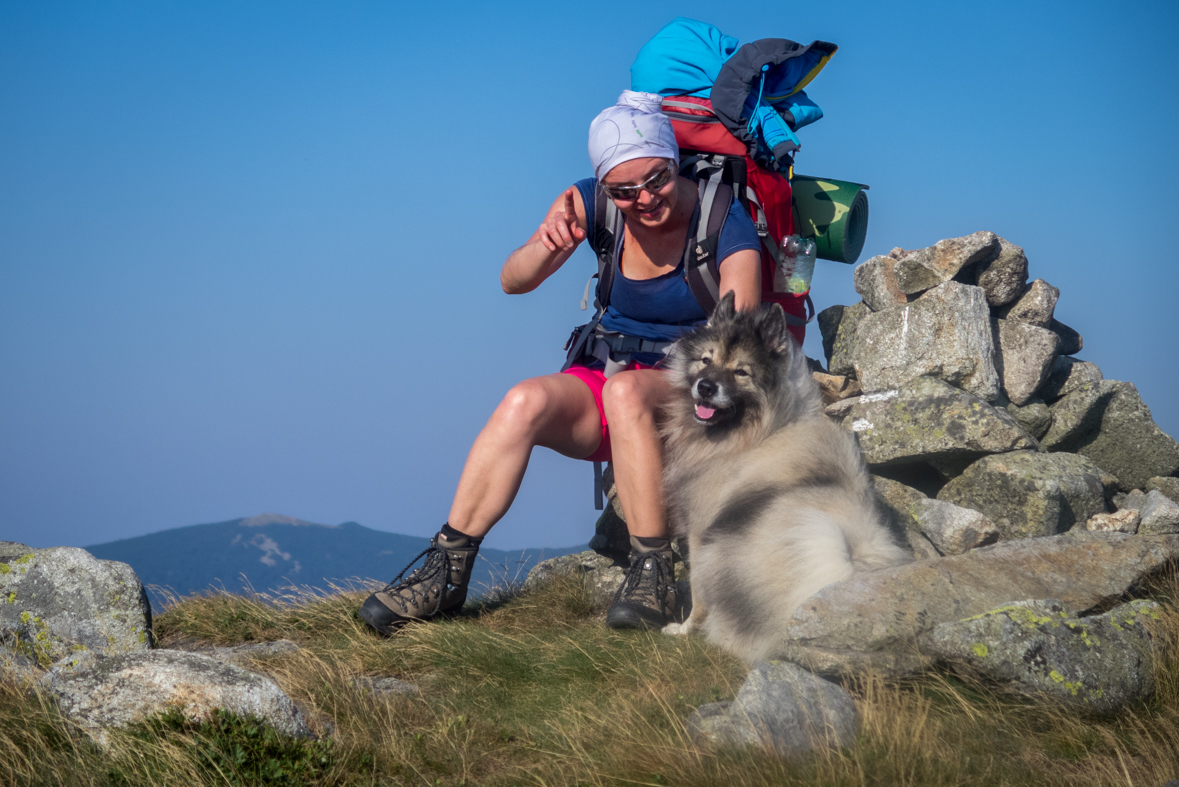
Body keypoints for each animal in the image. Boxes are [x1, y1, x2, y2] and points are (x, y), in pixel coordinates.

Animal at [660, 292, 905, 659]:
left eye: (741, 372)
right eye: (706, 360)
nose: (705, 387)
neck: (764, 430)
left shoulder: (699, 532)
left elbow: (698, 595)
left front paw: (684, 629)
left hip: (723, 550)